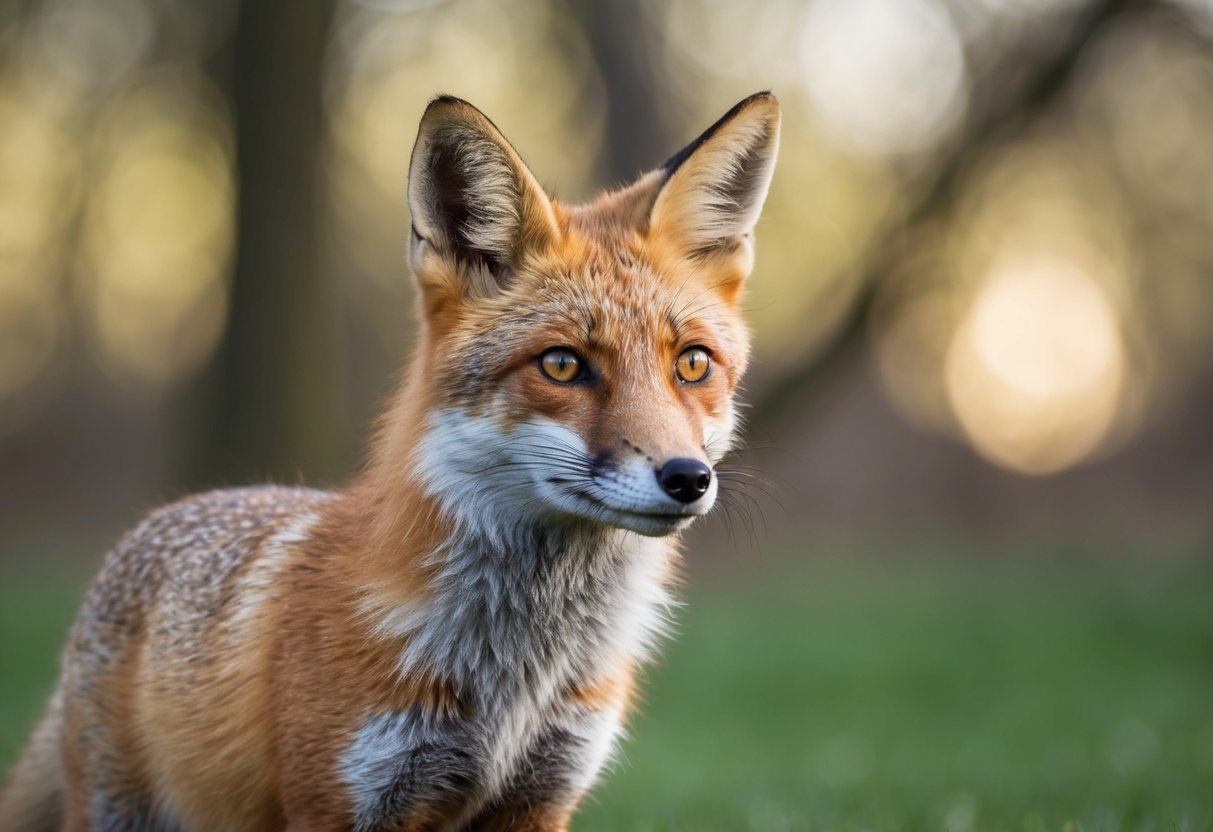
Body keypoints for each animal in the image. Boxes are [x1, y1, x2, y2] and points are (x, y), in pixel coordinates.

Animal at [0, 91, 780, 831]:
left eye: (692, 364)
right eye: (561, 365)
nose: (687, 478)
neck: (513, 680)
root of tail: (169, 513)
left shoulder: (540, 796)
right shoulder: (347, 802)